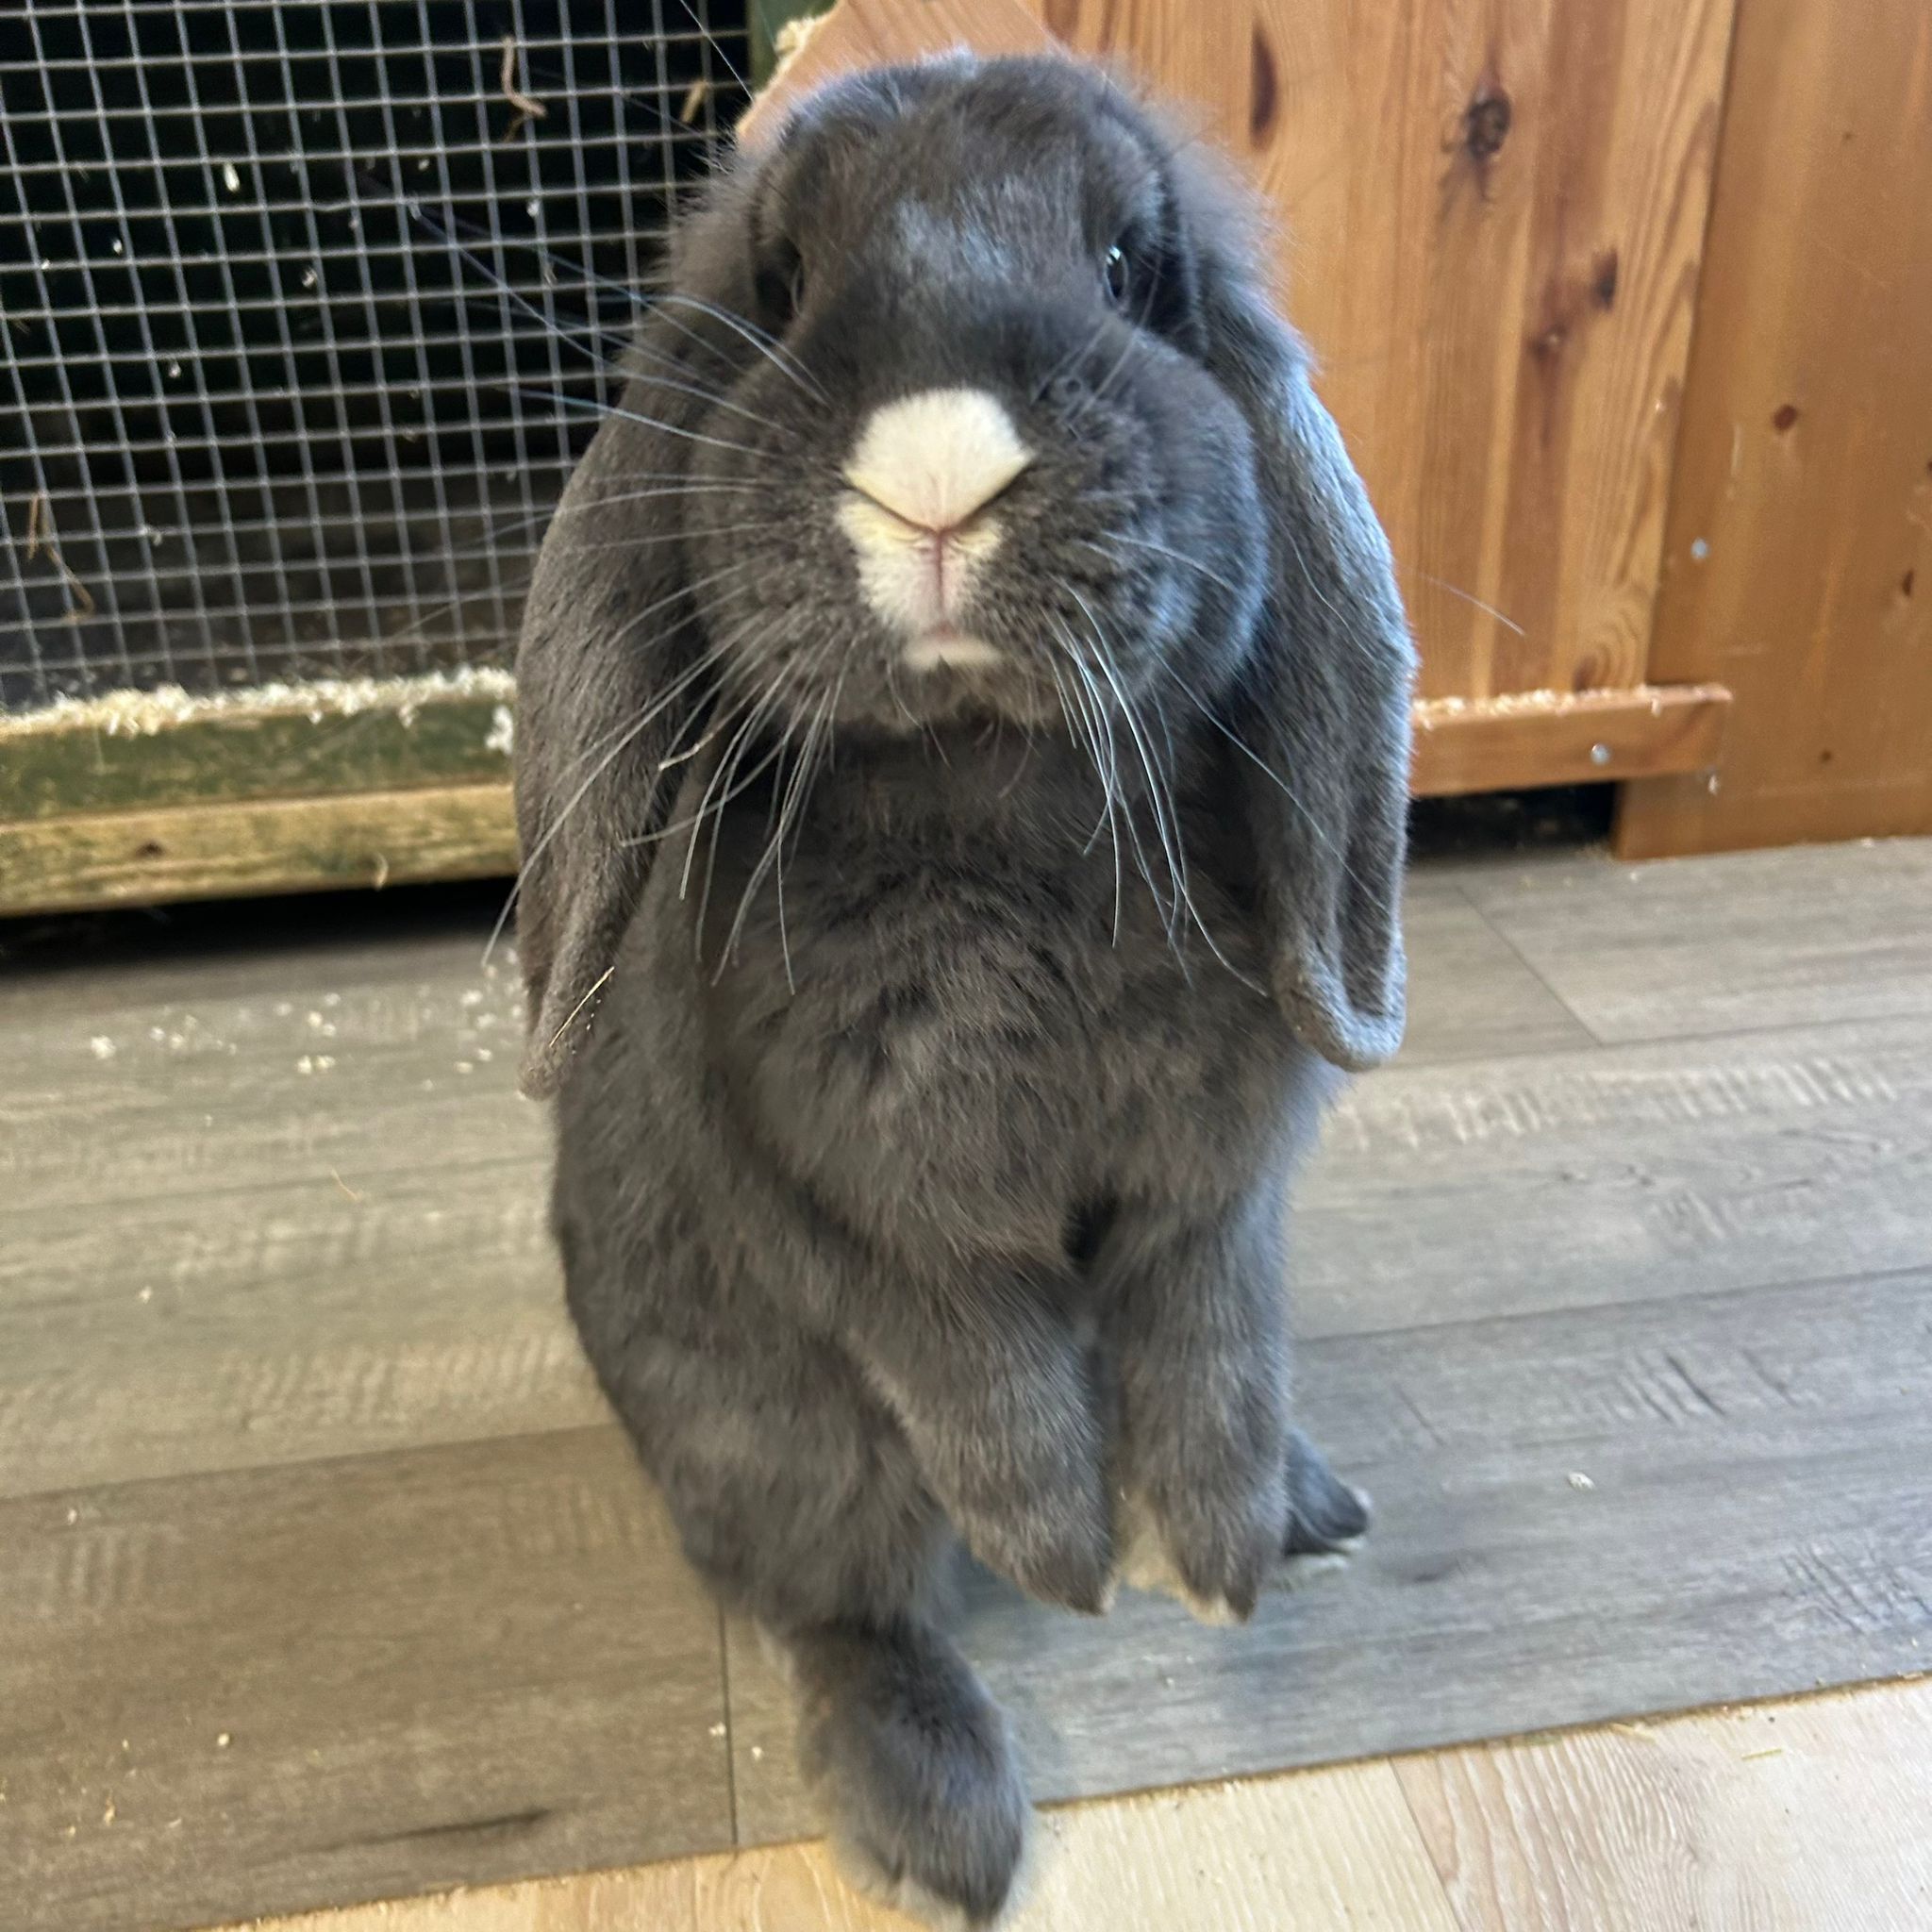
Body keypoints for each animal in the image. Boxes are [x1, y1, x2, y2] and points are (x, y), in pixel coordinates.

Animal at [511, 51, 1414, 1930]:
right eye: (781, 283)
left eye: (1135, 268)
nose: (935, 477)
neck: (995, 790)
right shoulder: (852, 1206)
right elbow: (973, 1362)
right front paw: (1061, 1549)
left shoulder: (1217, 1191)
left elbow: (1213, 1337)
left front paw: (1218, 1552)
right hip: (773, 1445)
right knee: (842, 1605)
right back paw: (943, 1834)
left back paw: (1308, 1502)